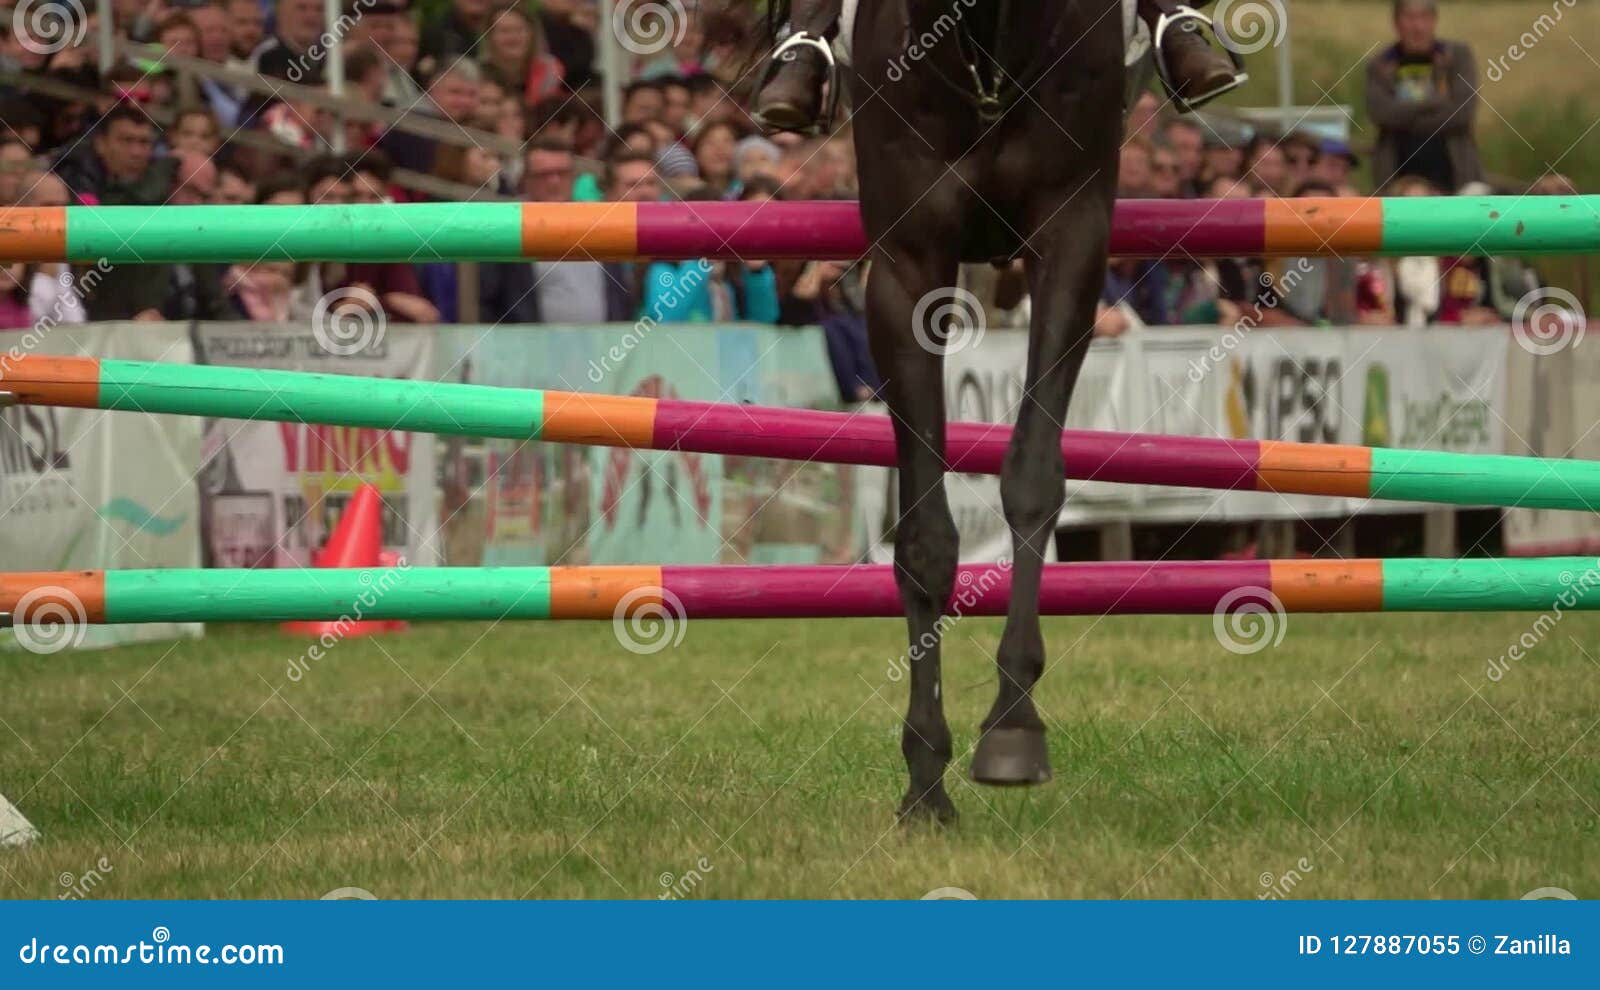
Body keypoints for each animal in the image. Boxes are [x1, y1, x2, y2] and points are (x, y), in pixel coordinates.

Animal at [771, 0, 1126, 818]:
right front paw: (926, 778)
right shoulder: (906, 265)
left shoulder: (1074, 231)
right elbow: (926, 535)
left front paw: (1012, 726)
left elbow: (1031, 476)